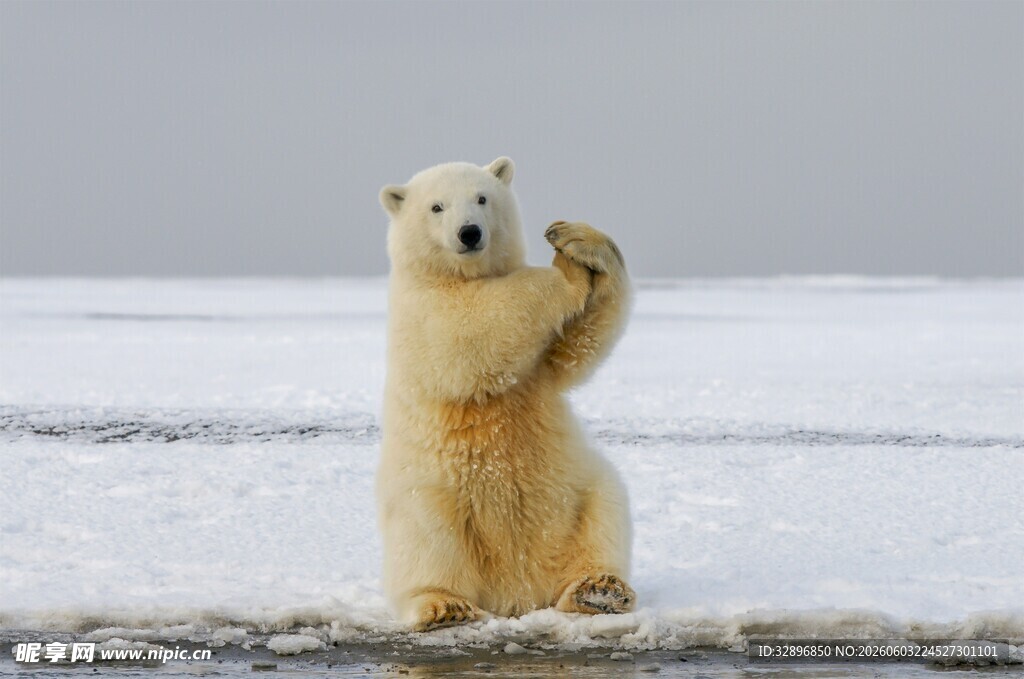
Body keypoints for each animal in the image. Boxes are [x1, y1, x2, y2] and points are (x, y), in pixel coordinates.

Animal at [376, 157, 634, 631]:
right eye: (437, 207)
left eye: (482, 198)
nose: (469, 233)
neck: (459, 275)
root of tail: (516, 593)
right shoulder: (421, 309)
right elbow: (472, 328)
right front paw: (566, 273)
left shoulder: (541, 369)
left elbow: (576, 347)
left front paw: (575, 240)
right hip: (429, 495)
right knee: (428, 541)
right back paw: (445, 606)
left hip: (578, 491)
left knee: (604, 511)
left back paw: (599, 590)